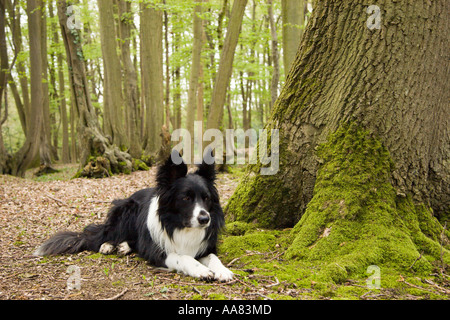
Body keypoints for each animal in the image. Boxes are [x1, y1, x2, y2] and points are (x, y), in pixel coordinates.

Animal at [33, 151, 234, 282]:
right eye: (186, 198)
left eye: (206, 198)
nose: (205, 219)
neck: (180, 226)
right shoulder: (158, 252)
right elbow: (182, 257)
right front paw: (201, 270)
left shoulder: (205, 247)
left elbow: (213, 257)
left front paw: (222, 270)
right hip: (125, 213)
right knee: (97, 237)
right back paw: (107, 245)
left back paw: (124, 247)